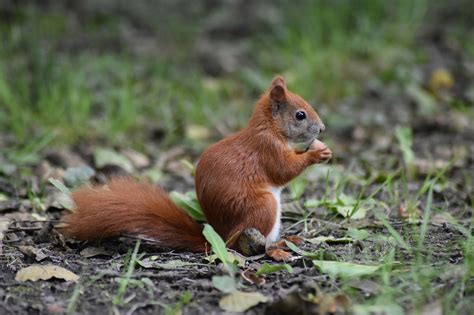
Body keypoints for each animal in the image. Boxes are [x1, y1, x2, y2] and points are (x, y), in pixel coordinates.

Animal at [59, 76, 332, 254]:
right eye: (300, 115)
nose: (322, 128)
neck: (270, 128)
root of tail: (221, 240)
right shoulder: (267, 150)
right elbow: (283, 170)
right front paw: (316, 154)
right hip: (263, 208)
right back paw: (276, 245)